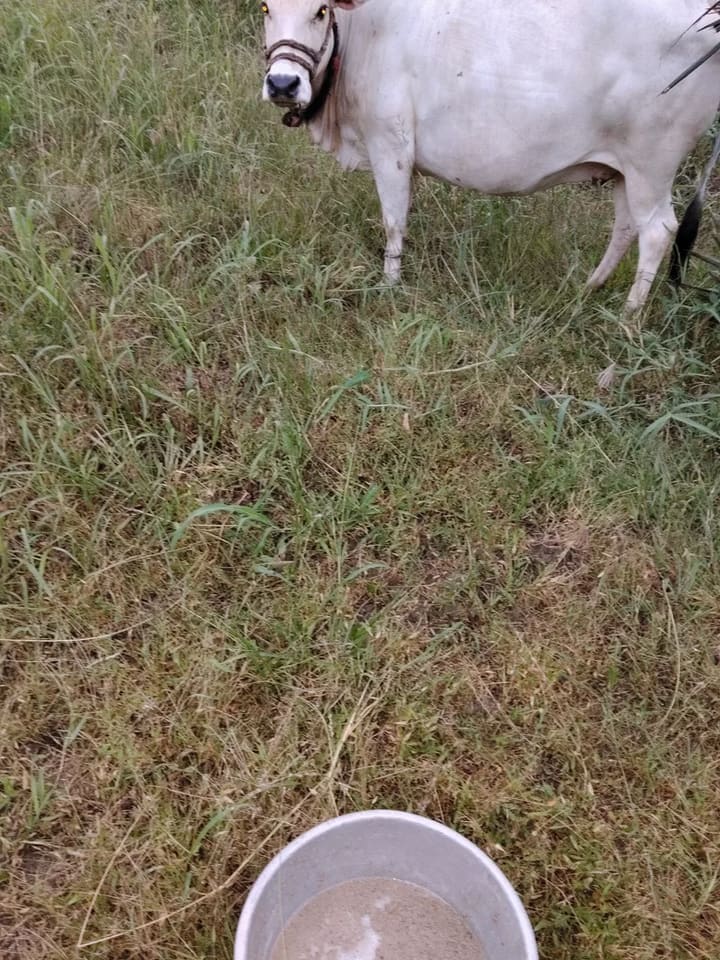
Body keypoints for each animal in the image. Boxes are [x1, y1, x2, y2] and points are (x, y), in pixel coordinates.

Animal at [260, 0, 720, 313]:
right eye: (266, 6)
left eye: (321, 10)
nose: (283, 83)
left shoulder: (389, 144)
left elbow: (393, 223)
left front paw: (389, 289)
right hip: (625, 168)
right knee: (626, 226)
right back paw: (589, 289)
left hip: (652, 164)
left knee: (657, 230)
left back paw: (628, 316)